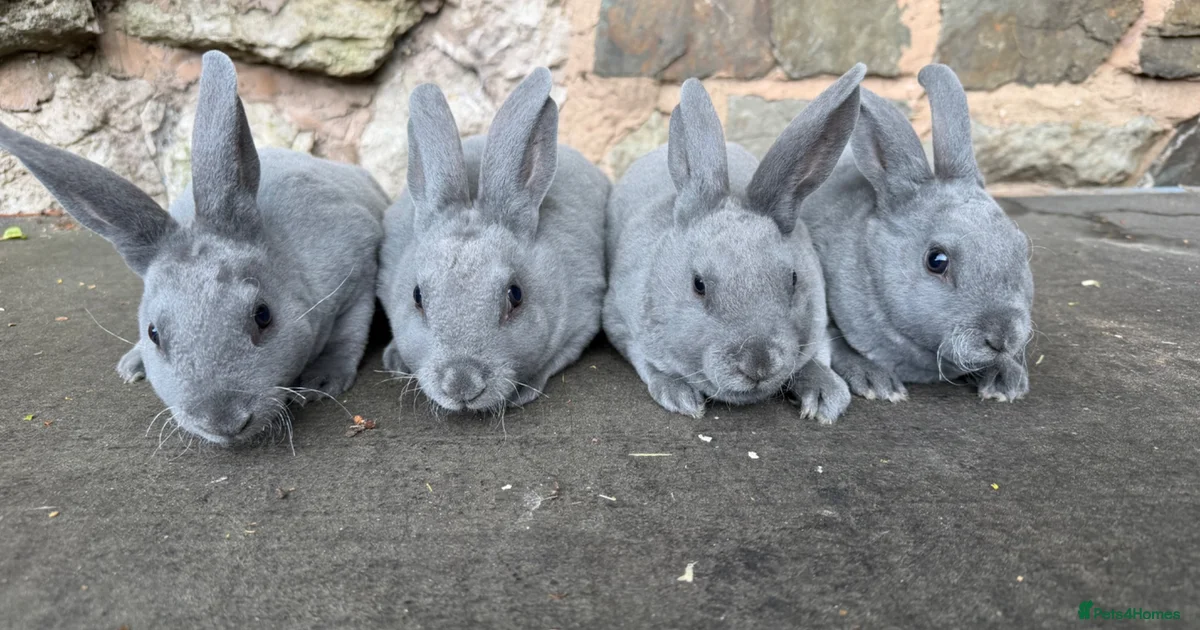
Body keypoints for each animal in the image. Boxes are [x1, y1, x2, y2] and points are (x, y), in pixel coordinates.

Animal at [0, 51, 388, 444]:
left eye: (263, 316)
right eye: (153, 333)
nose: (224, 423)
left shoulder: (357, 276)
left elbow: (349, 333)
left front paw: (321, 381)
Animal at [377, 67, 610, 413]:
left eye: (516, 294)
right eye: (417, 297)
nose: (461, 385)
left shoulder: (581, 321)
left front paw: (523, 393)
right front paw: (394, 360)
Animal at [602, 64, 867, 423]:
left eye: (794, 279)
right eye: (698, 285)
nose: (758, 365)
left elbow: (813, 359)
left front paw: (826, 396)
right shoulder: (619, 321)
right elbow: (649, 363)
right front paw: (680, 396)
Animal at [799, 64, 1034, 403]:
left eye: (1021, 248)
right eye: (936, 261)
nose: (1002, 337)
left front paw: (1006, 380)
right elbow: (838, 345)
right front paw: (877, 382)